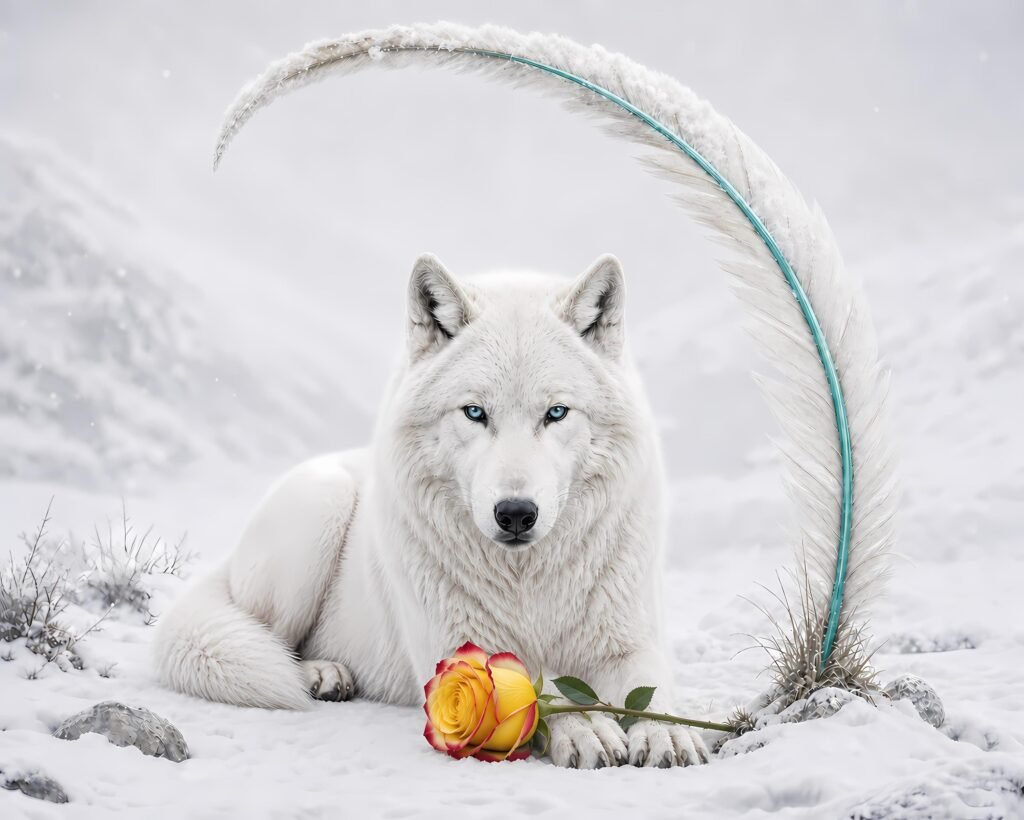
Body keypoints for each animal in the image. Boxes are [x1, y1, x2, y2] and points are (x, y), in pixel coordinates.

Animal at [155, 252, 710, 768]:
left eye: (556, 413)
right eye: (474, 413)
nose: (515, 514)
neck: (529, 583)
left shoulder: (632, 642)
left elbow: (648, 691)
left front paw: (667, 734)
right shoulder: (465, 648)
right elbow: (541, 689)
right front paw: (587, 727)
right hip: (321, 505)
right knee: (270, 636)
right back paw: (320, 673)